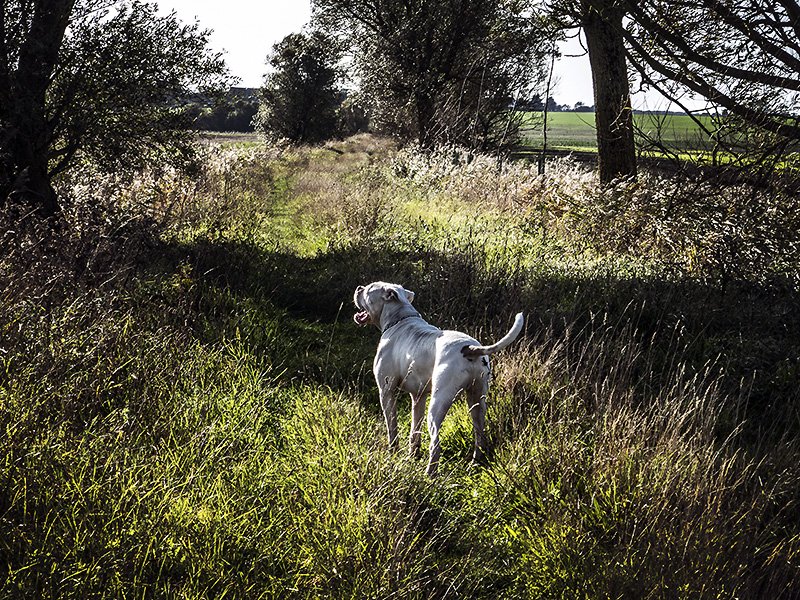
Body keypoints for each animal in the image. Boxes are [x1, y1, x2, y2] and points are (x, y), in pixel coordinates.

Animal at [354, 282, 520, 474]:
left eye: (369, 289)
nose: (358, 288)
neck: (400, 319)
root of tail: (470, 348)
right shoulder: (418, 397)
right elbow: (414, 430)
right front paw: (412, 456)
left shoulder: (386, 392)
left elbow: (392, 428)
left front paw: (392, 454)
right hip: (477, 401)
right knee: (480, 435)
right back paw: (474, 463)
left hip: (437, 405)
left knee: (436, 445)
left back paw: (429, 475)